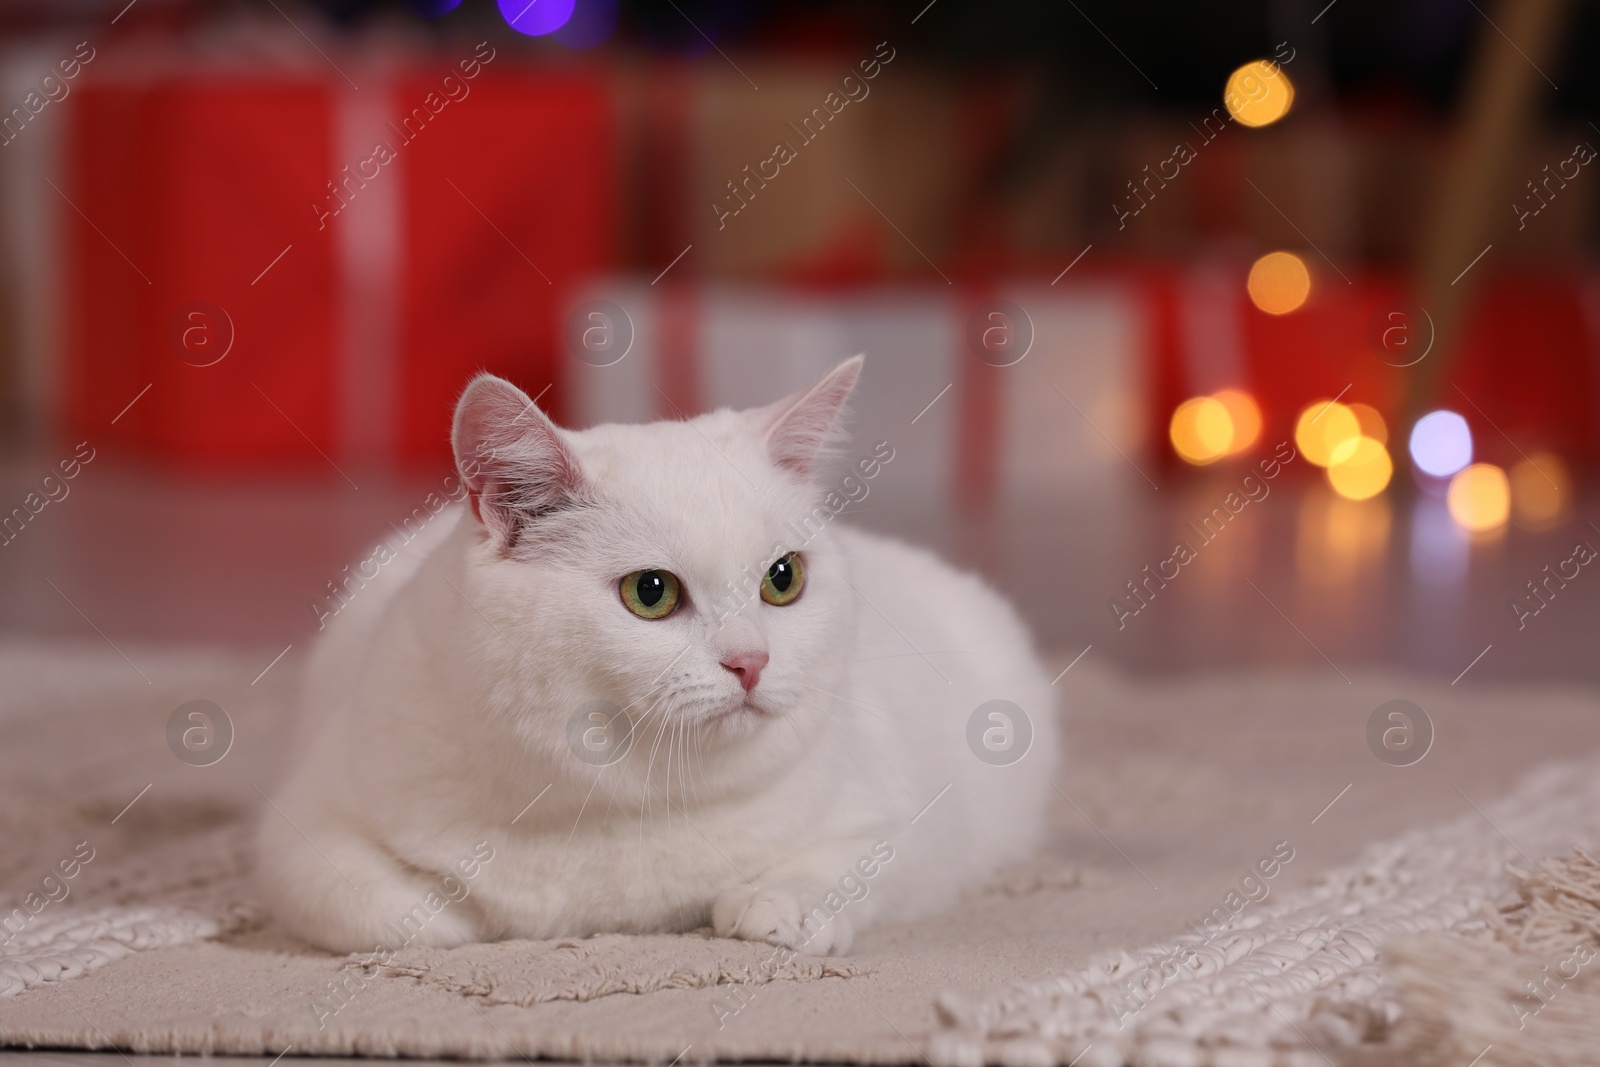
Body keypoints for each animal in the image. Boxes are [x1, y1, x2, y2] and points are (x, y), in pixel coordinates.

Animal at [256, 358, 1062, 959]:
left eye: (784, 578)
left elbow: (857, 862)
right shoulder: (303, 824)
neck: (629, 801)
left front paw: (779, 905)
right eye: (651, 592)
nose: (751, 662)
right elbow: (371, 905)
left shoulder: (917, 824)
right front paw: (454, 916)